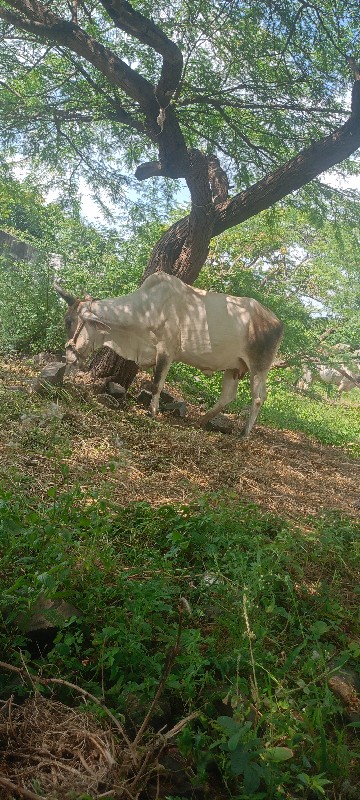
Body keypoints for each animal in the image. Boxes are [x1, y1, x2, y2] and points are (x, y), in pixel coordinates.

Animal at [54, 274, 282, 438]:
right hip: (234, 367)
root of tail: (276, 321)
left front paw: (152, 412)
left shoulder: (166, 351)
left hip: (259, 367)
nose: (68, 356)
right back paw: (200, 421)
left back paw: (244, 433)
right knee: (228, 396)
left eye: (68, 321)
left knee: (258, 397)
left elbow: (156, 384)